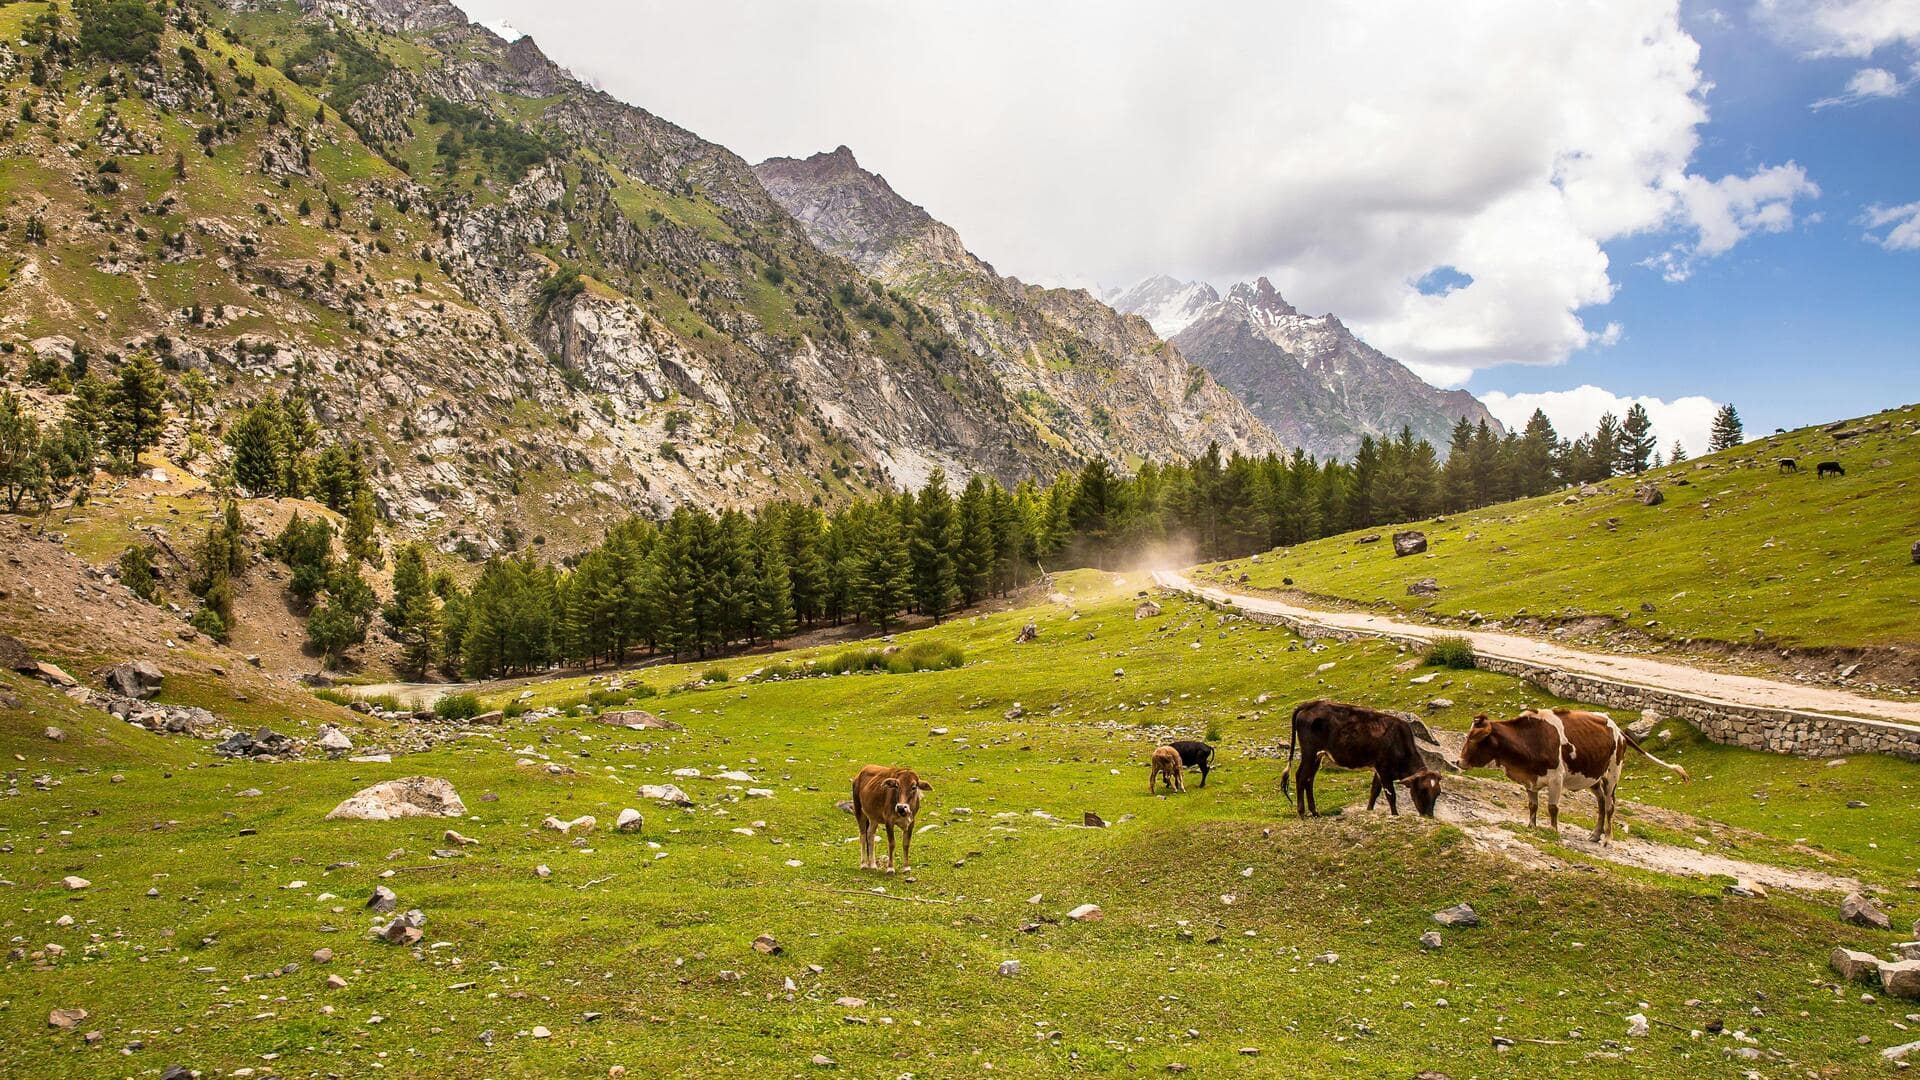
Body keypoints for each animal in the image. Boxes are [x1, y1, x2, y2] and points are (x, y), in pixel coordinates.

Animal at [1290, 699, 1443, 814]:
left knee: (1309, 779)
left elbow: (1374, 791)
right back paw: (1301, 812)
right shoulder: (1384, 769)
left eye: (1438, 793)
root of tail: (1310, 705)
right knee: (1301, 776)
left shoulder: (1378, 769)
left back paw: (1314, 812)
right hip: (1309, 752)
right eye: (1422, 790)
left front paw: (1369, 810)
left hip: (1318, 755)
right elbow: (1391, 795)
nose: (1428, 816)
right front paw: (1395, 815)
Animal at [1459, 707, 1689, 841]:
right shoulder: (1530, 779)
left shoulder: (1556, 778)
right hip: (1594, 777)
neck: (1531, 738)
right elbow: (1533, 806)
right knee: (1601, 803)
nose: (1458, 761)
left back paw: (1607, 839)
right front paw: (1531, 826)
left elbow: (1552, 808)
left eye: (1475, 738)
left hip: (1613, 773)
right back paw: (1595, 834)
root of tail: (1619, 730)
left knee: (1611, 805)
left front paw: (1553, 831)